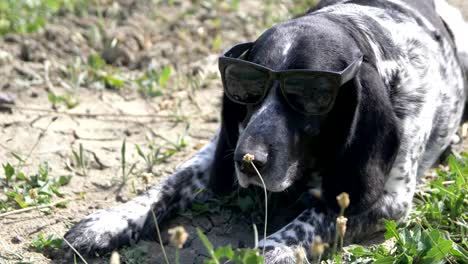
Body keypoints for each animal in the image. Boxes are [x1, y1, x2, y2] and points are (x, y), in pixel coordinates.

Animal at [63, 1, 468, 262]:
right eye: (247, 89)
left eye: (308, 96)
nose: (248, 162)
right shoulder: (219, 150)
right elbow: (168, 184)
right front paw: (110, 220)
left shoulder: (387, 199)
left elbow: (316, 216)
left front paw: (271, 250)